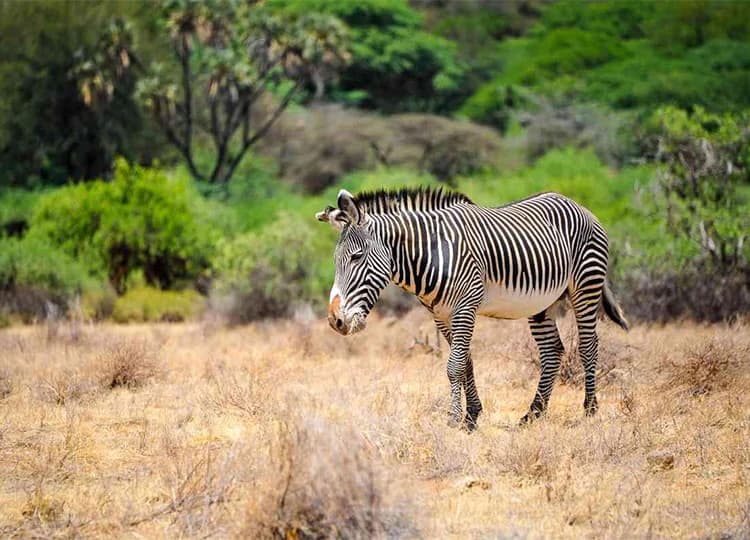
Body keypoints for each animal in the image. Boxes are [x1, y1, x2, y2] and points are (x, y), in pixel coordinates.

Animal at [316, 187, 629, 429]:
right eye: (335, 260)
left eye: (356, 257)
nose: (335, 320)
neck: (431, 253)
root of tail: (578, 204)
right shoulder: (441, 315)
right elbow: (466, 363)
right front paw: (472, 416)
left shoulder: (465, 307)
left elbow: (454, 366)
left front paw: (454, 419)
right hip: (544, 302)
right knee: (552, 351)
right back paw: (533, 413)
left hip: (585, 285)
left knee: (588, 345)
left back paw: (589, 410)